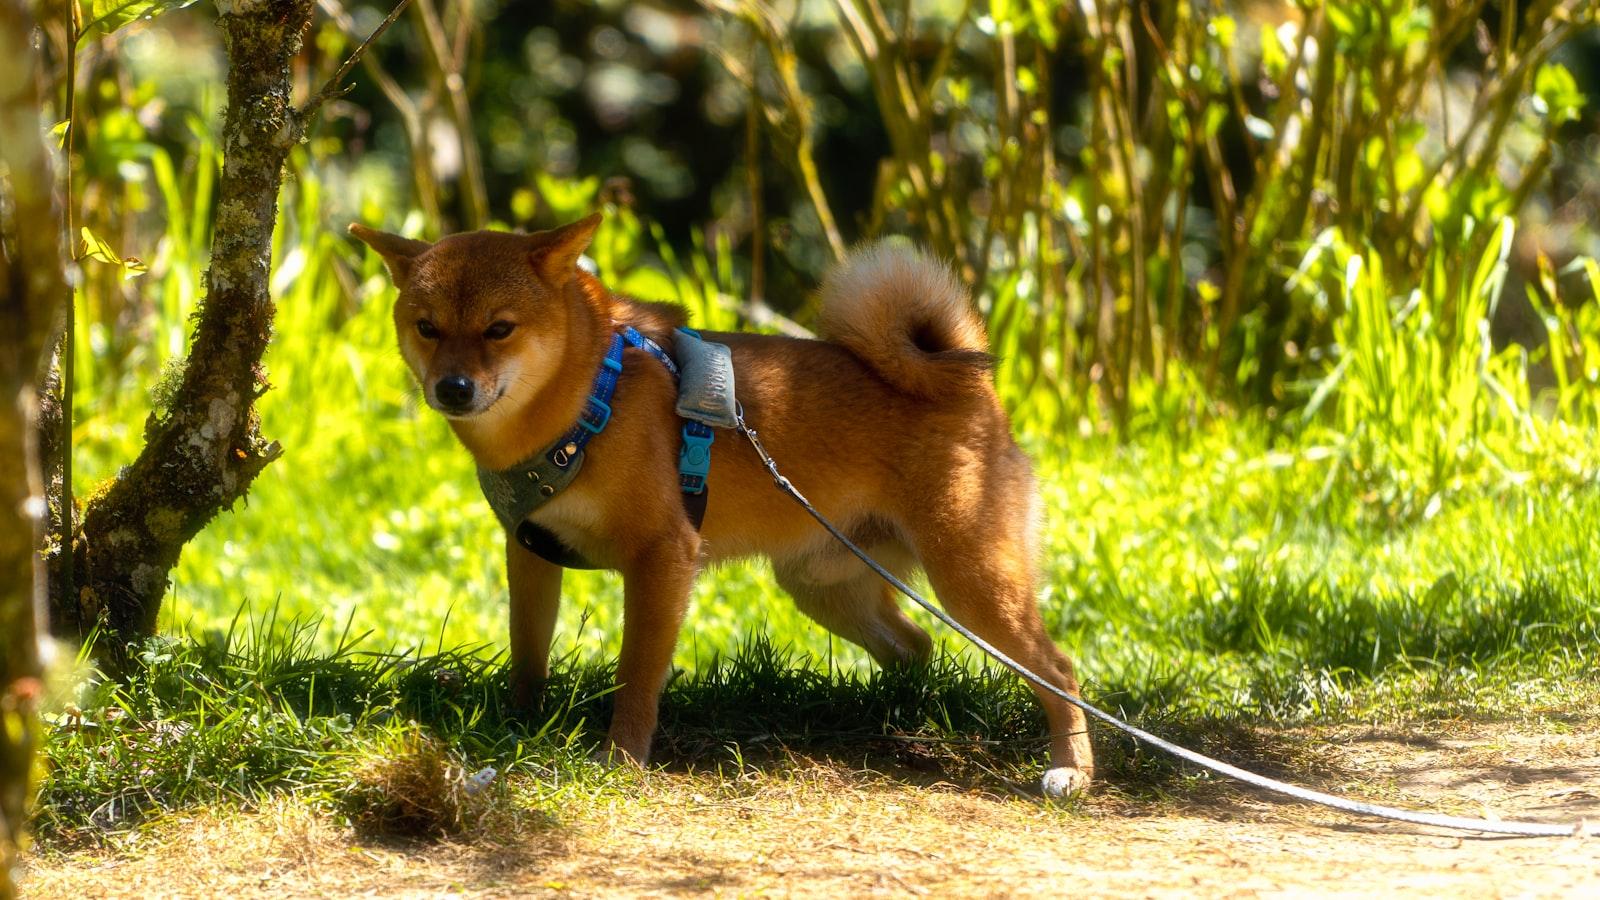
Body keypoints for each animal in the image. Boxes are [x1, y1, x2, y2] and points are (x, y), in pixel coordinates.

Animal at [350, 216, 1100, 791]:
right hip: (824, 586)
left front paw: (621, 759)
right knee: (915, 647)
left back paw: (1072, 770)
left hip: (972, 583)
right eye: (426, 327)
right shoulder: (532, 551)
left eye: (499, 329)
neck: (587, 398)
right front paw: (518, 726)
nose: (452, 388)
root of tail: (964, 380)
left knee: (1058, 671)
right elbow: (528, 654)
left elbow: (636, 677)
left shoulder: (663, 558)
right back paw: (889, 715)